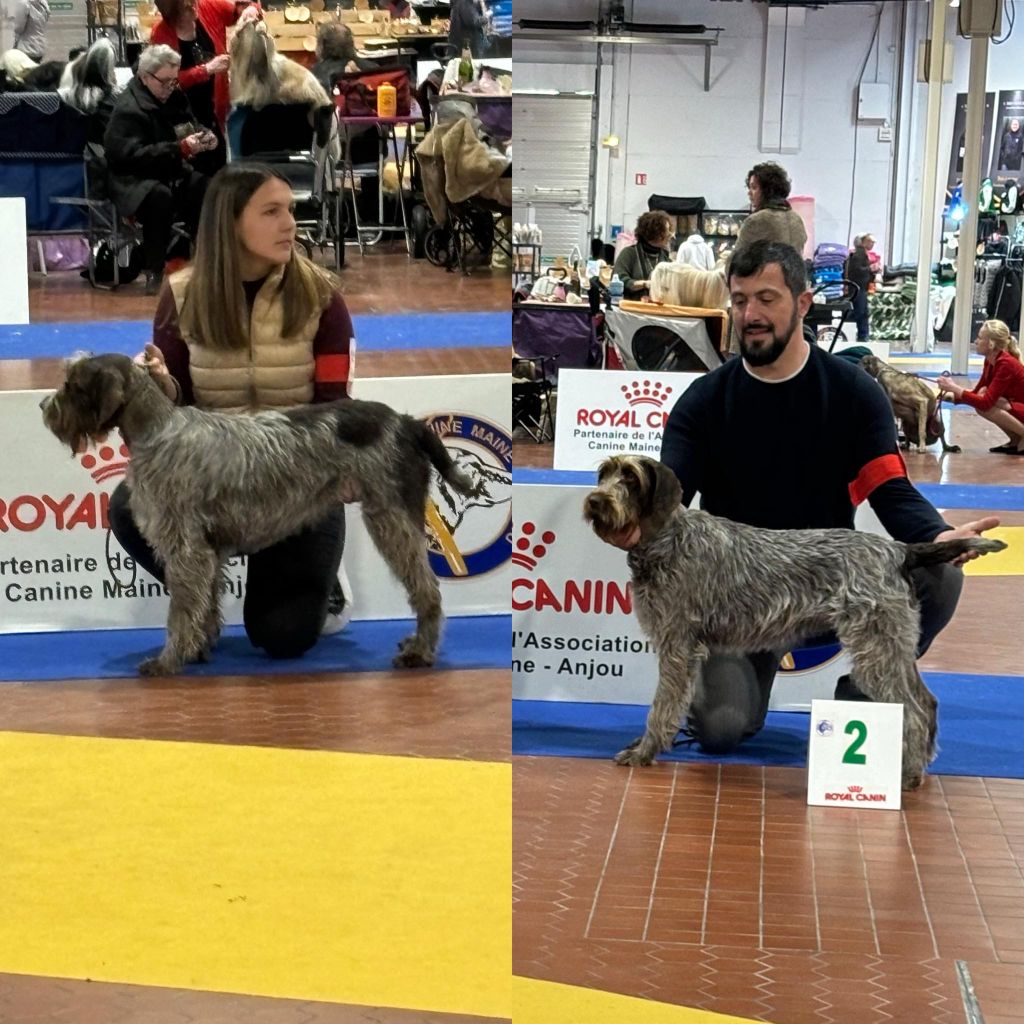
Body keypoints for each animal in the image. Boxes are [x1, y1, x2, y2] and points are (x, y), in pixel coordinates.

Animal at [39, 352, 471, 679]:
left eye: (72, 384)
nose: (44, 407)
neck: (156, 429)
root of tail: (407, 423)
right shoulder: (206, 552)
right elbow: (204, 603)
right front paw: (199, 646)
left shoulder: (184, 546)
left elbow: (179, 610)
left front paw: (169, 659)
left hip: (391, 519)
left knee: (428, 589)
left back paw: (420, 652)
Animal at [585, 456, 1007, 790]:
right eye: (603, 474)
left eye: (630, 478)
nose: (594, 501)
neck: (666, 538)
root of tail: (898, 550)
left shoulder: (677, 646)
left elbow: (661, 706)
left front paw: (645, 750)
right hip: (892, 647)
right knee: (927, 701)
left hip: (876, 649)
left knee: (914, 711)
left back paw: (910, 774)